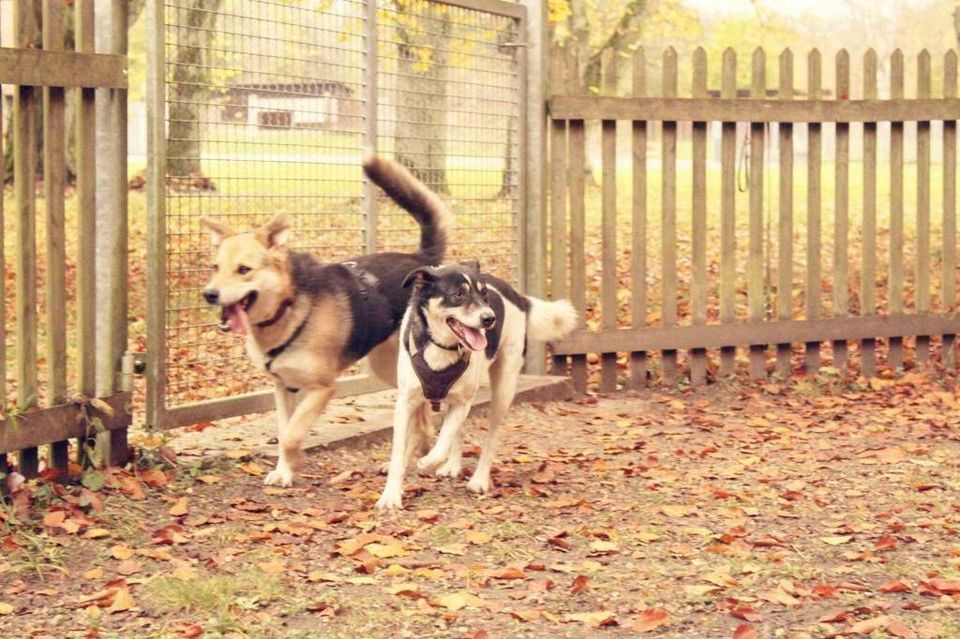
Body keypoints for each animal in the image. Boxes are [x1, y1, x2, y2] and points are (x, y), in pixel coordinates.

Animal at [376, 260, 576, 510]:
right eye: (458, 294)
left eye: (484, 295)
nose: (489, 319)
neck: (443, 348)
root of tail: (518, 297)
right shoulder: (407, 401)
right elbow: (401, 448)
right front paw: (391, 494)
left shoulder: (462, 402)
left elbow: (444, 439)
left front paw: (427, 462)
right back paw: (451, 466)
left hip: (503, 388)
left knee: (490, 437)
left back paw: (479, 479)